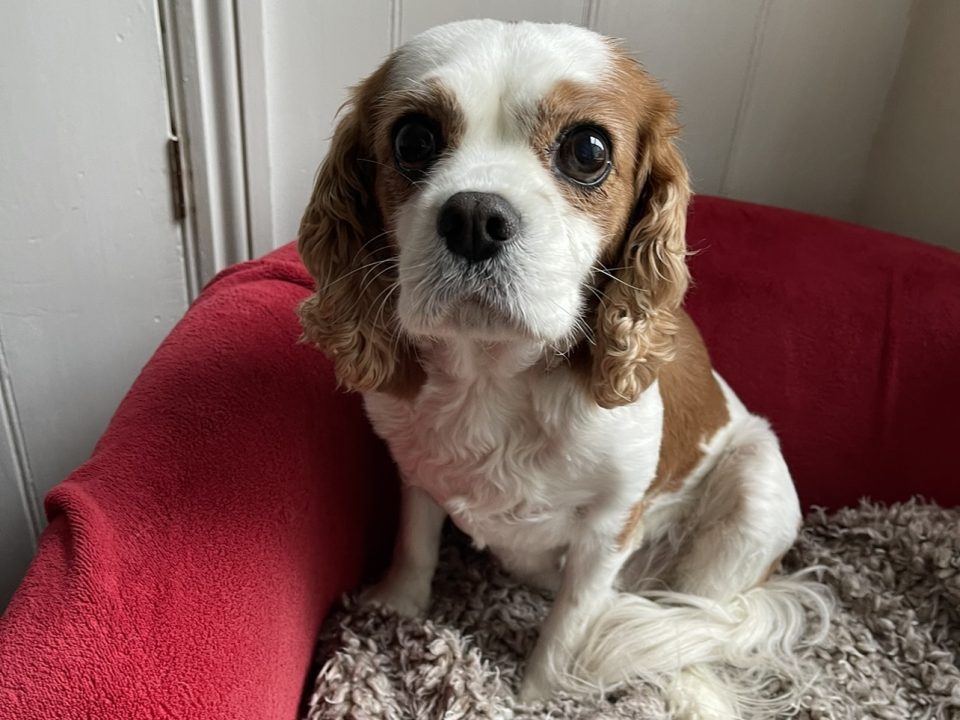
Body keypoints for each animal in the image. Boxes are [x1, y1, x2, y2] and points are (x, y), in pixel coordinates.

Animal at [296, 19, 828, 716]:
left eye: (588, 150)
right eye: (413, 139)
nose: (475, 217)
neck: (493, 374)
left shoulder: (610, 528)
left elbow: (568, 626)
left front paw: (538, 695)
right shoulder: (416, 471)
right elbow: (416, 543)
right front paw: (397, 609)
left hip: (755, 493)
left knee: (701, 627)